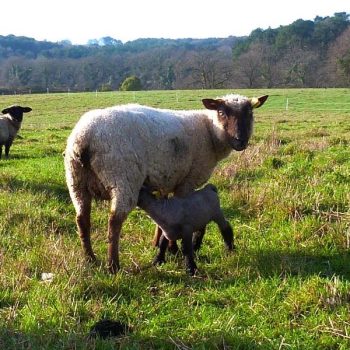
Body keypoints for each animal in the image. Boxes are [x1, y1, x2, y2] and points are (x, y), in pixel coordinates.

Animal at [63, 93, 268, 274]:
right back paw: (113, 266)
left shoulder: (166, 179)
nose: (240, 141)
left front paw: (159, 244)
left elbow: (162, 215)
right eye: (222, 112)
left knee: (82, 220)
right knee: (114, 222)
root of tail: (84, 138)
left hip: (76, 181)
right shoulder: (186, 182)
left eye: (250, 113)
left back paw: (90, 259)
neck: (209, 132)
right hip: (123, 178)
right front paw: (174, 249)